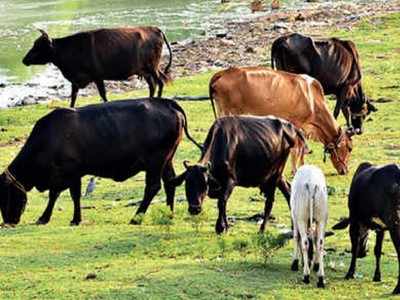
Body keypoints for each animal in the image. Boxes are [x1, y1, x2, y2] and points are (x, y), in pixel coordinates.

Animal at [0, 97, 200, 226]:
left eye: (4, 195)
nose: (8, 221)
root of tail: (167, 102)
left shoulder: (66, 172)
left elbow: (57, 194)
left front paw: (46, 218)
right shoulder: (74, 174)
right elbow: (72, 195)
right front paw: (74, 219)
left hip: (155, 162)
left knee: (153, 187)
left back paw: (136, 218)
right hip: (167, 160)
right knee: (170, 183)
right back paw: (169, 214)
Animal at [21, 26, 172, 106]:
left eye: (38, 47)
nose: (24, 60)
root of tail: (154, 28)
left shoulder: (97, 76)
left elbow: (103, 94)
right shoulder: (76, 80)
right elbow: (73, 97)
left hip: (152, 67)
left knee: (159, 83)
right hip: (146, 70)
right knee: (153, 85)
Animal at [170, 115, 306, 234]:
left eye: (204, 184)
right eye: (187, 184)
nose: (194, 209)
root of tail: (289, 126)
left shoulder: (230, 181)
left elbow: (222, 202)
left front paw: (220, 227)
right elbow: (222, 203)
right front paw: (224, 226)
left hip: (275, 174)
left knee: (270, 201)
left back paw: (262, 229)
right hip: (275, 175)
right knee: (288, 192)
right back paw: (293, 227)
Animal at [208, 67, 354, 176]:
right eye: (349, 148)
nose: (345, 170)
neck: (312, 99)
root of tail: (223, 73)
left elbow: (302, 149)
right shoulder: (296, 124)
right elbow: (297, 148)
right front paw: (295, 170)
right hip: (227, 112)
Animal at [332, 163, 400, 294]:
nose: (362, 253)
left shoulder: (354, 221)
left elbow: (354, 248)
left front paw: (350, 273)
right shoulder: (381, 229)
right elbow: (377, 251)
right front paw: (377, 276)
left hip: (394, 225)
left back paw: (397, 288)